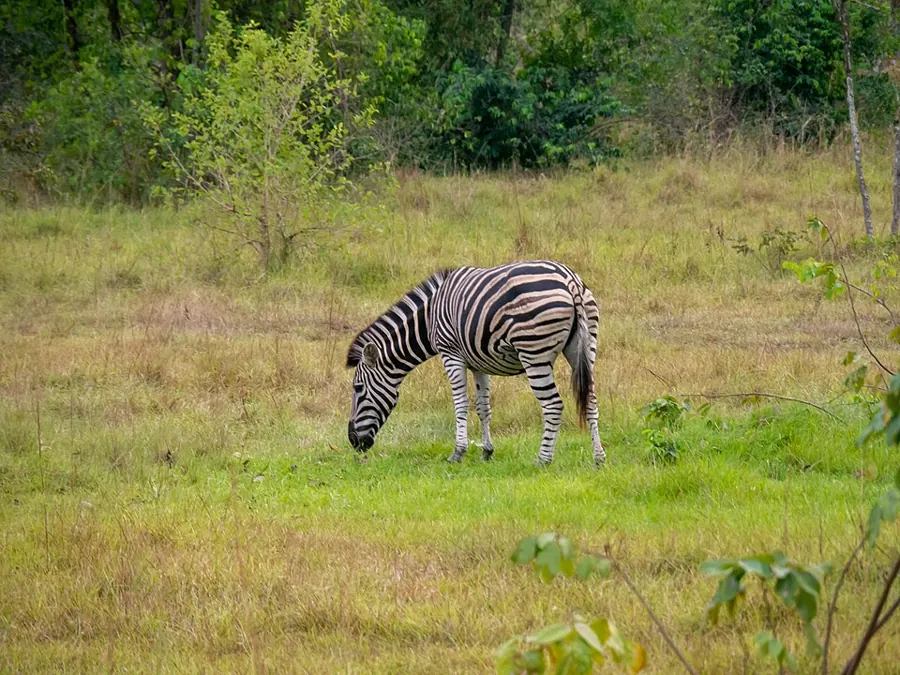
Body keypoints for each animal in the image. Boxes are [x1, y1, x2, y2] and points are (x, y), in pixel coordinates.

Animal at [346, 260, 605, 466]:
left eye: (358, 389)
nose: (353, 441)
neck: (429, 319)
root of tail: (570, 280)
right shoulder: (479, 363)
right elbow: (483, 408)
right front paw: (487, 452)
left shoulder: (451, 355)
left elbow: (460, 404)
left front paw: (458, 453)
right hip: (585, 346)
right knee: (591, 400)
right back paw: (598, 458)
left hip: (534, 352)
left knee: (553, 405)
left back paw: (543, 459)